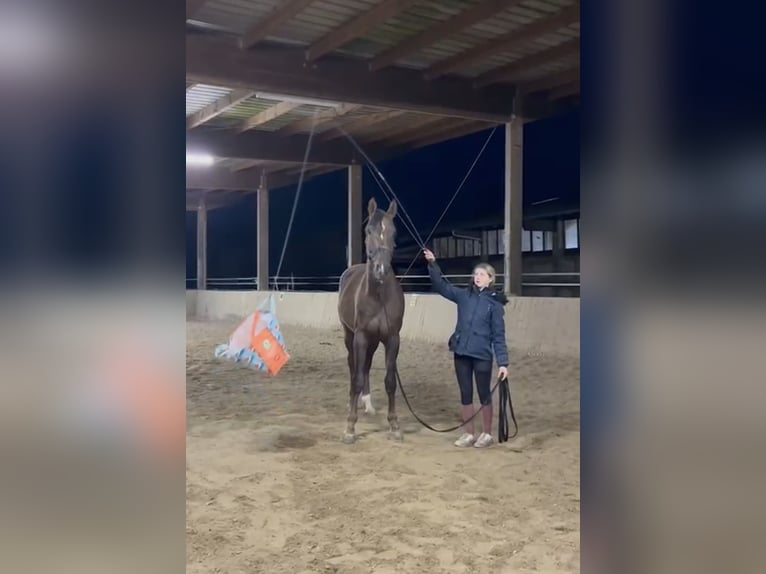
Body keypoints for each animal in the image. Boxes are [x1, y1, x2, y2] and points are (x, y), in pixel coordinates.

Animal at [337, 197, 405, 444]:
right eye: (368, 230)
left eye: (394, 232)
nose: (381, 269)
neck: (378, 296)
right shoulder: (360, 337)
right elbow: (356, 377)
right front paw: (349, 427)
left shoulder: (392, 339)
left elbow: (390, 381)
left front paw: (394, 425)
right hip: (350, 337)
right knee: (353, 367)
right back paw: (354, 401)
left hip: (374, 342)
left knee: (365, 366)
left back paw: (367, 404)